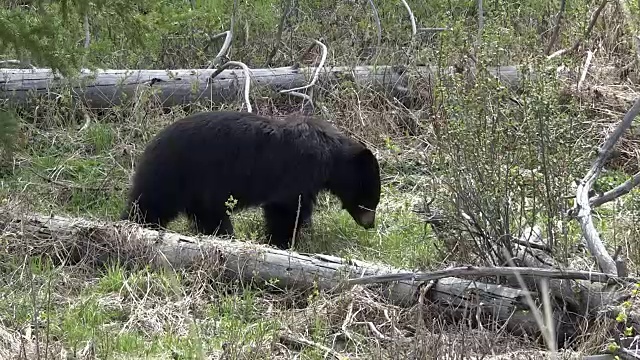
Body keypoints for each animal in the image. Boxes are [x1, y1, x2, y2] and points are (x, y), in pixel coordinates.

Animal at [120, 111, 380, 249]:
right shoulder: (300, 169)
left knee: (207, 216)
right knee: (150, 205)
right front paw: (282, 242)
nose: (371, 224)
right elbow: (285, 208)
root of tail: (151, 145)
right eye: (370, 201)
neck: (330, 156)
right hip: (176, 175)